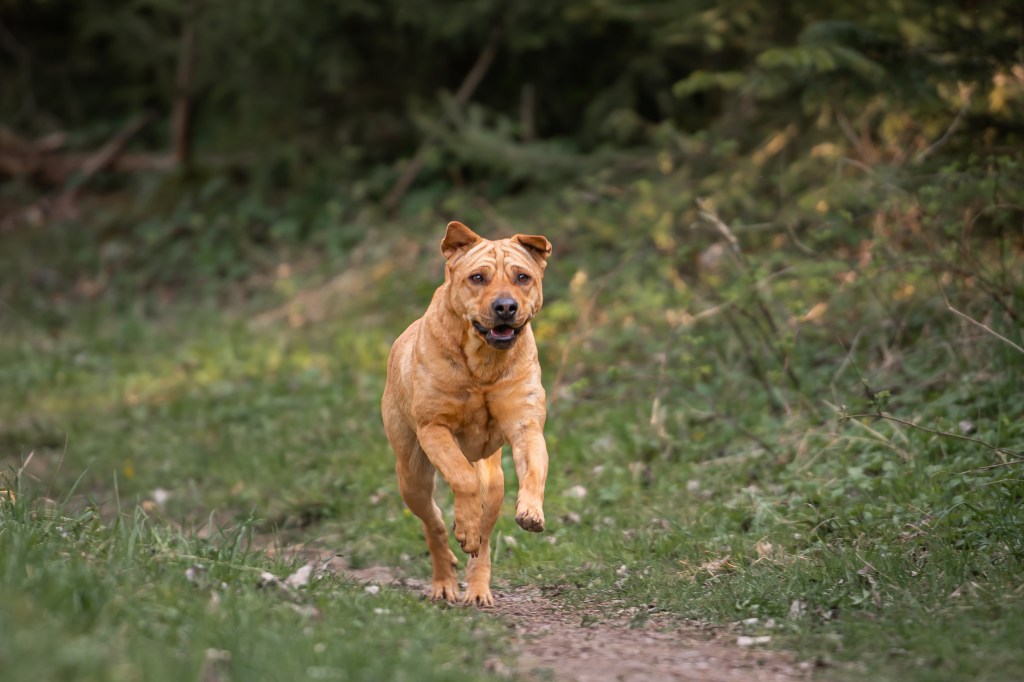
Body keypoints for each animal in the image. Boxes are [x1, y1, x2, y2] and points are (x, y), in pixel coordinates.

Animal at [381, 221, 552, 606]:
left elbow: (535, 470)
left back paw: (477, 587)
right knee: (433, 522)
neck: (483, 365)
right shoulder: (434, 428)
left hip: (495, 480)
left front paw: (531, 512)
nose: (505, 306)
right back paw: (445, 578)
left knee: (484, 541)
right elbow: (461, 478)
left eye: (522, 277)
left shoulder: (526, 425)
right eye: (477, 277)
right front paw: (464, 525)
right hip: (410, 474)